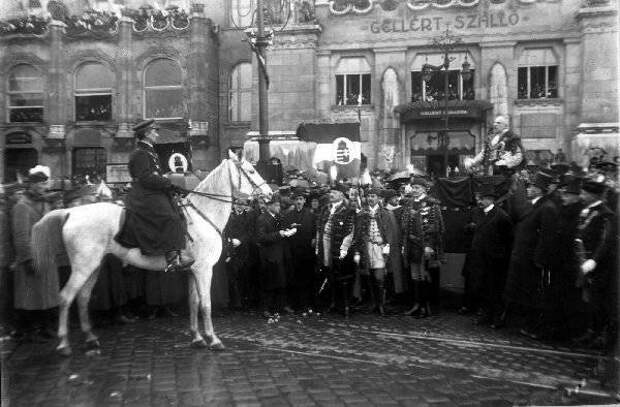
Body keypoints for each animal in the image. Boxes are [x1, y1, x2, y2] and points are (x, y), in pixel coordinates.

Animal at [30, 155, 268, 356]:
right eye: (251, 171)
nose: (269, 194)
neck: (202, 215)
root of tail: (71, 211)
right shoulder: (204, 270)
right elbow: (206, 304)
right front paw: (213, 339)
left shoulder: (191, 270)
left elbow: (193, 303)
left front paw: (197, 337)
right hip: (83, 266)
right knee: (66, 297)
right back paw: (63, 344)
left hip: (93, 266)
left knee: (82, 298)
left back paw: (90, 338)